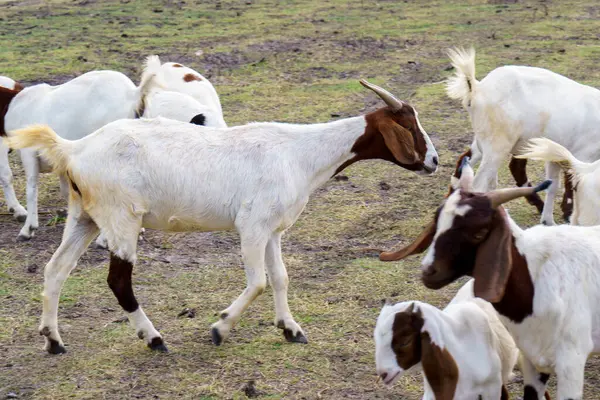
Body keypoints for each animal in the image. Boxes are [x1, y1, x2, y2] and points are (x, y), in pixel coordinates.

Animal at [5, 79, 440, 354]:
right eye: (409, 125)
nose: (435, 161)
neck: (300, 152)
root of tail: (74, 149)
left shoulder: (273, 230)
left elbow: (280, 278)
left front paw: (291, 329)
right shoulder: (252, 226)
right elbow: (259, 282)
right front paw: (219, 327)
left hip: (85, 218)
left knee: (55, 270)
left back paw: (53, 340)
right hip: (122, 219)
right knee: (118, 282)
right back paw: (154, 338)